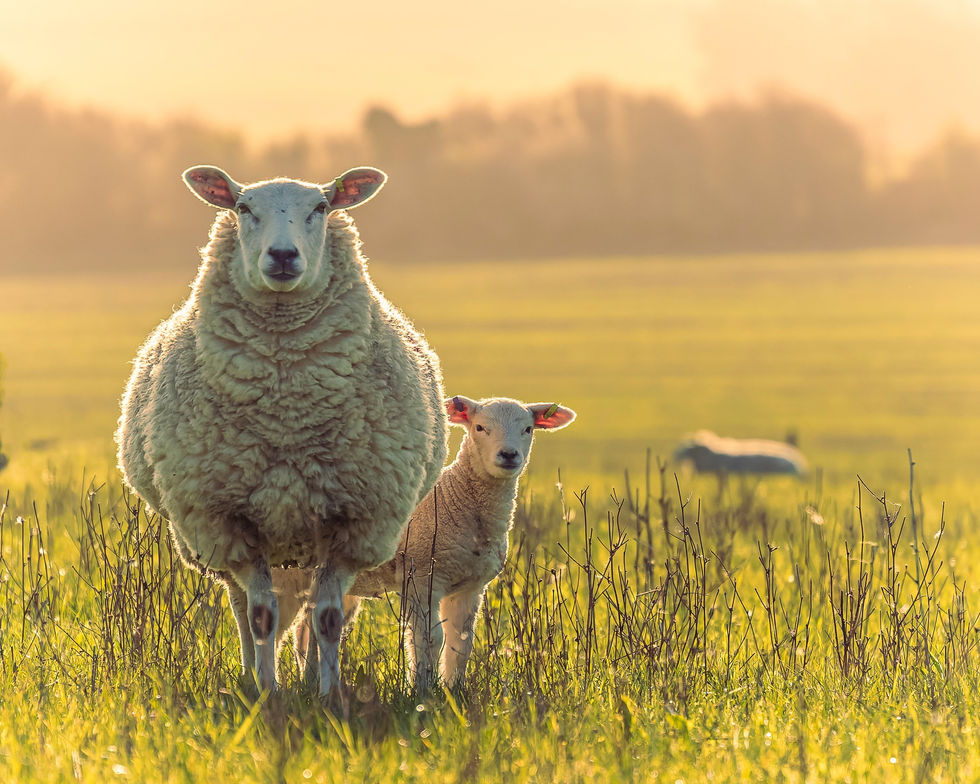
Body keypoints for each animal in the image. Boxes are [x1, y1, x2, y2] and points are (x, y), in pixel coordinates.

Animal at [115, 165, 447, 702]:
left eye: (322, 207)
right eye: (242, 207)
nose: (284, 256)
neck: (285, 406)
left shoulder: (355, 523)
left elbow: (328, 618)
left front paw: (328, 696)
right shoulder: (227, 521)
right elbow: (260, 616)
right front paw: (268, 692)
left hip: (309, 537)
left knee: (312, 613)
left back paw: (310, 677)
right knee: (241, 607)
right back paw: (252, 673)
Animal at [275, 395, 576, 694]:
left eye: (528, 429)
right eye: (479, 427)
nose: (509, 455)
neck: (458, 499)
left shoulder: (471, 586)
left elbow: (461, 642)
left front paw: (454, 690)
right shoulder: (421, 576)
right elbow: (429, 637)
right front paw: (421, 689)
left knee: (307, 628)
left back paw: (310, 681)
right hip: (288, 576)